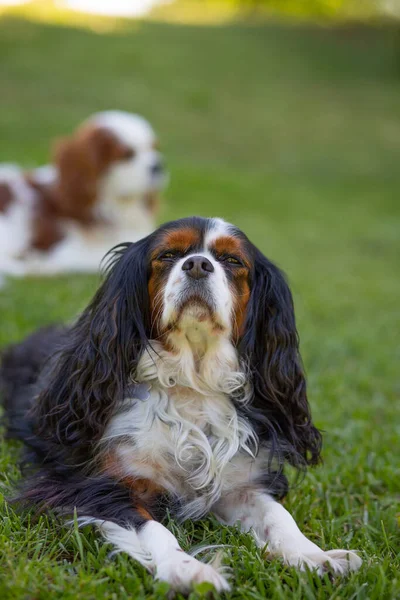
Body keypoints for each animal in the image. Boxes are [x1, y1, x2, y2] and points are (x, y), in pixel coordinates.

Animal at [0, 218, 362, 592]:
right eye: (169, 255)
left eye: (232, 260)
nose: (198, 264)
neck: (191, 383)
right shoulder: (90, 485)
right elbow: (152, 528)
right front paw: (187, 569)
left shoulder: (238, 486)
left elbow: (278, 515)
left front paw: (315, 556)